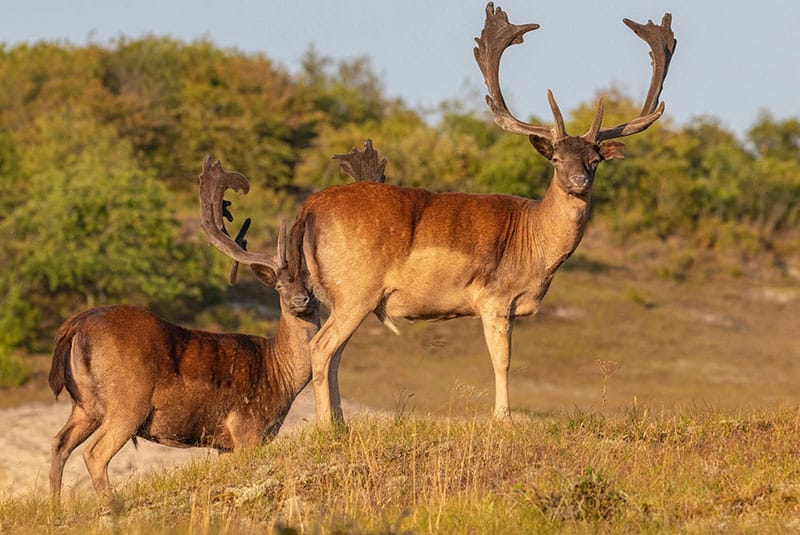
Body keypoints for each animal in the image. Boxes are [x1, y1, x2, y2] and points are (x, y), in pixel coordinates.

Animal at [46, 156, 322, 498]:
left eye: (312, 283)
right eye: (280, 286)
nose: (300, 300)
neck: (279, 374)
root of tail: (75, 324)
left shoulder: (225, 445)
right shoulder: (248, 429)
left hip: (84, 405)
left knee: (59, 443)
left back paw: (55, 505)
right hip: (127, 401)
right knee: (94, 453)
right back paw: (112, 504)